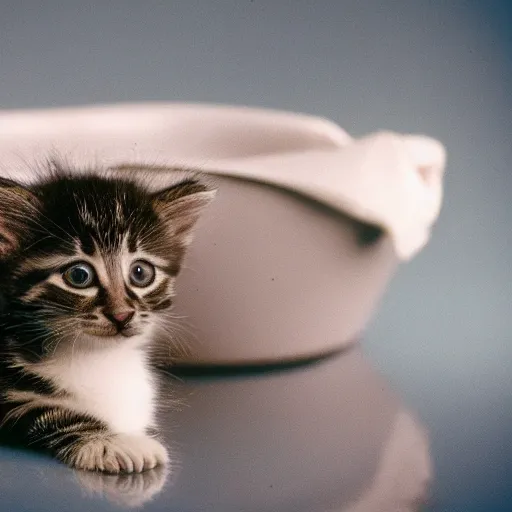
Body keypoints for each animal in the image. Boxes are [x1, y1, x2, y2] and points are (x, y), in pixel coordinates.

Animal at [0, 168, 214, 472]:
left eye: (140, 273)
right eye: (79, 276)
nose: (122, 315)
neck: (97, 355)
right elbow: (41, 408)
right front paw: (111, 442)